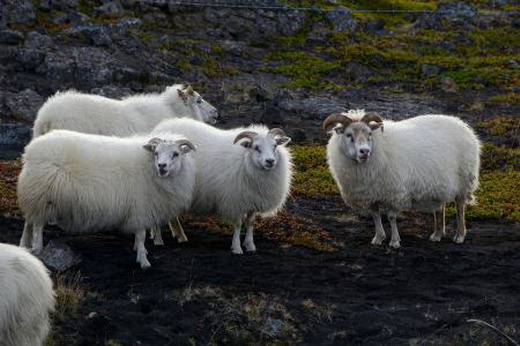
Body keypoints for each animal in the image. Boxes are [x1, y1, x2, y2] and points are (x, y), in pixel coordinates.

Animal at [17, 130, 197, 268]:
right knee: (37, 224)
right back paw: (37, 247)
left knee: (29, 221)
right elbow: (141, 235)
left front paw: (140, 252)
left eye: (176, 154)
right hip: (43, 195)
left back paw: (24, 245)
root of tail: (31, 150)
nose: (162, 166)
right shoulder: (140, 207)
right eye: (156, 152)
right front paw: (143, 260)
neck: (149, 167)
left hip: (34, 195)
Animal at [152, 118, 294, 254]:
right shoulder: (235, 201)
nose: (270, 161)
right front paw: (237, 248)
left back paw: (179, 236)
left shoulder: (252, 199)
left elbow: (250, 223)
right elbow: (238, 224)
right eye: (256, 147)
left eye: (274, 146)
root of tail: (161, 127)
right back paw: (158, 240)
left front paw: (250, 245)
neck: (245, 160)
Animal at [324, 109, 480, 247]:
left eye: (369, 133)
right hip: (439, 184)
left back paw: (459, 235)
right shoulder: (372, 193)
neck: (380, 147)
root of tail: (462, 124)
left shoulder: (395, 193)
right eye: (349, 134)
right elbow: (375, 215)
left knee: (460, 207)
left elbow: (391, 217)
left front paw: (394, 241)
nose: (364, 151)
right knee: (440, 208)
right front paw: (378, 238)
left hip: (464, 180)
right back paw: (437, 235)